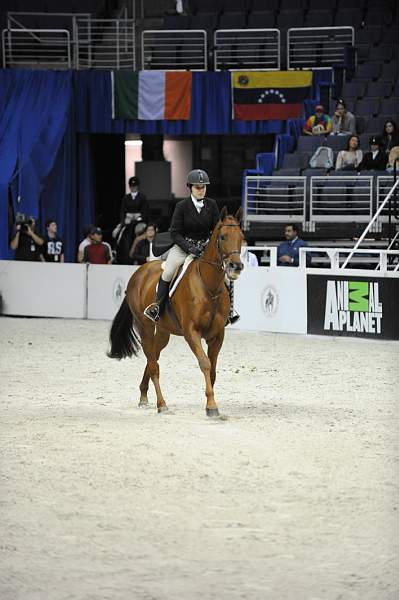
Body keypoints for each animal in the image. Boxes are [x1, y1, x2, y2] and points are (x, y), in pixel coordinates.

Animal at [108, 206, 244, 418]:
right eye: (222, 237)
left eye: (242, 237)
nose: (236, 267)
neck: (209, 285)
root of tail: (139, 272)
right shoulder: (191, 333)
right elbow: (205, 363)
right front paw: (211, 406)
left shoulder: (217, 335)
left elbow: (212, 369)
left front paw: (210, 403)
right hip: (145, 328)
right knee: (153, 364)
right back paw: (161, 404)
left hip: (163, 331)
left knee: (153, 356)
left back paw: (143, 395)